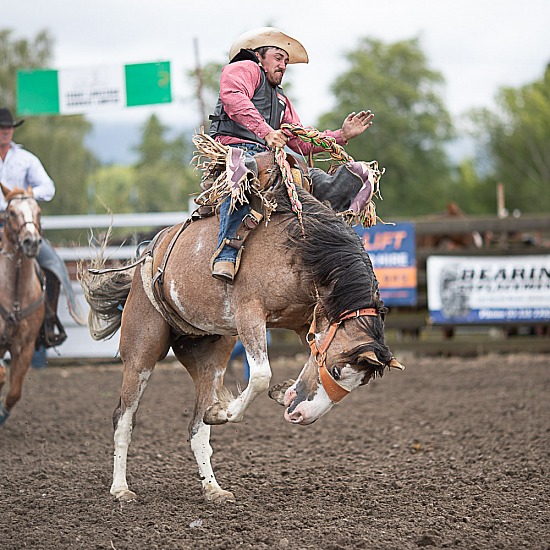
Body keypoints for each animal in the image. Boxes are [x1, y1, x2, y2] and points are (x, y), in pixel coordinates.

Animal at [80, 161, 404, 504]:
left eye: (361, 383)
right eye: (338, 370)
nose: (302, 417)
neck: (302, 247)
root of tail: (148, 255)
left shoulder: (309, 319)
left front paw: (282, 392)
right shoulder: (249, 314)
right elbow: (260, 374)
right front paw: (238, 407)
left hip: (209, 358)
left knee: (198, 426)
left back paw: (213, 486)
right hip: (141, 352)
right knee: (123, 418)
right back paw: (121, 488)